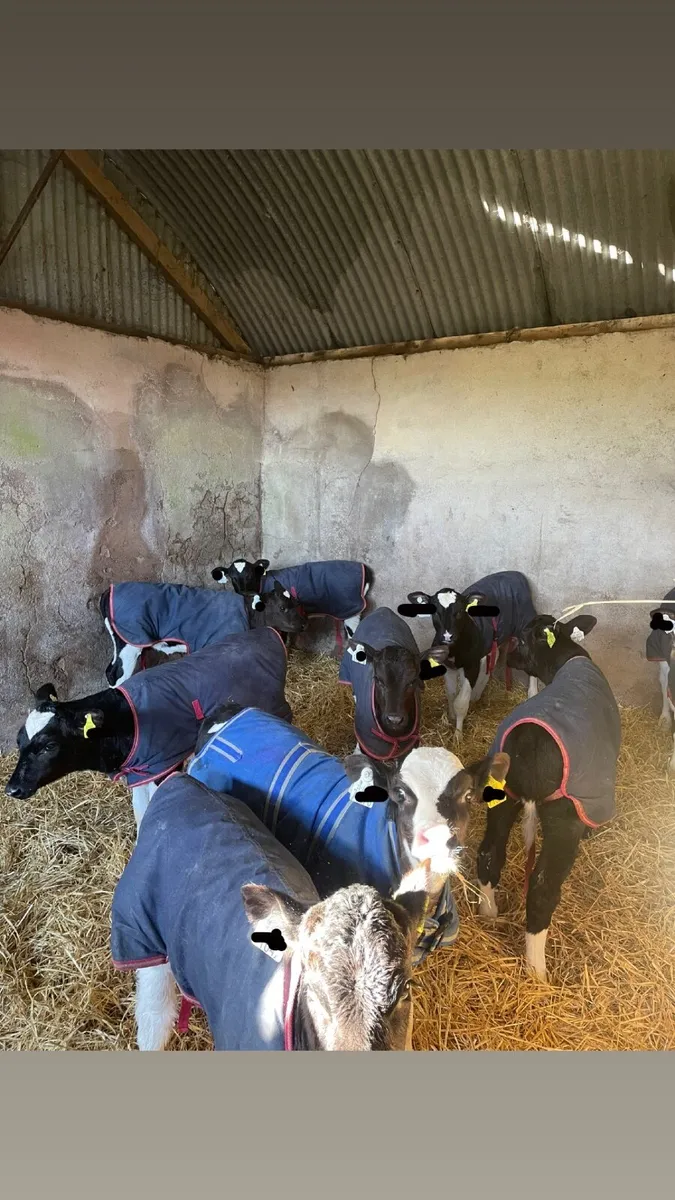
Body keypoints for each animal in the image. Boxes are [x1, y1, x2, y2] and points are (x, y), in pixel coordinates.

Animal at [4, 628, 292, 832]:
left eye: (49, 746)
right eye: (19, 741)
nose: (12, 789)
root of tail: (265, 632)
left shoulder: (161, 767)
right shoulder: (139, 773)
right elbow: (142, 811)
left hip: (275, 706)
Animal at [99, 580, 306, 686]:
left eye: (296, 602)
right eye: (282, 607)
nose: (303, 625)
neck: (249, 613)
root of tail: (109, 590)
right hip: (129, 643)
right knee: (115, 673)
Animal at [338, 606, 447, 766]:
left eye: (412, 681)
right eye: (378, 680)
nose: (394, 719)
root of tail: (383, 610)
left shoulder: (410, 744)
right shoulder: (368, 745)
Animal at [472, 612, 618, 983]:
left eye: (522, 639)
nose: (508, 657)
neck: (566, 658)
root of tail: (528, 745)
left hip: (503, 796)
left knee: (489, 853)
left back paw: (488, 913)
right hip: (563, 818)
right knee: (541, 888)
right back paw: (537, 969)